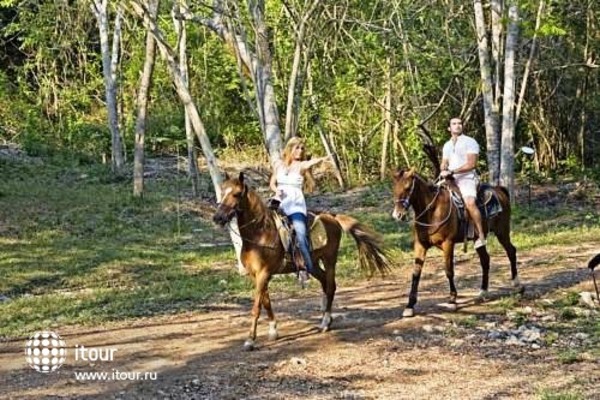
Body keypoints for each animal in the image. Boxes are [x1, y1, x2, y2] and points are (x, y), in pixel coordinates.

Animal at [213, 173, 392, 350]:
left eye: (236, 194)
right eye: (222, 193)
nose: (218, 218)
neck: (259, 234)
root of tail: (332, 217)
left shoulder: (264, 274)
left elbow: (257, 307)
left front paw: (250, 340)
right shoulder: (255, 275)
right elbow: (266, 302)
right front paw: (273, 331)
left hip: (329, 259)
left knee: (331, 286)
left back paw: (325, 322)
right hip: (312, 264)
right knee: (325, 283)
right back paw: (327, 318)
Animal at [392, 167, 524, 318]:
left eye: (408, 187)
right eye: (394, 188)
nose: (398, 215)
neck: (432, 211)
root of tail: (499, 190)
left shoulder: (448, 243)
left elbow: (449, 271)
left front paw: (452, 300)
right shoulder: (420, 245)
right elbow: (416, 274)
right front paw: (410, 306)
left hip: (502, 231)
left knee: (511, 251)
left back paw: (517, 284)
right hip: (479, 239)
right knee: (485, 260)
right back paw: (483, 291)